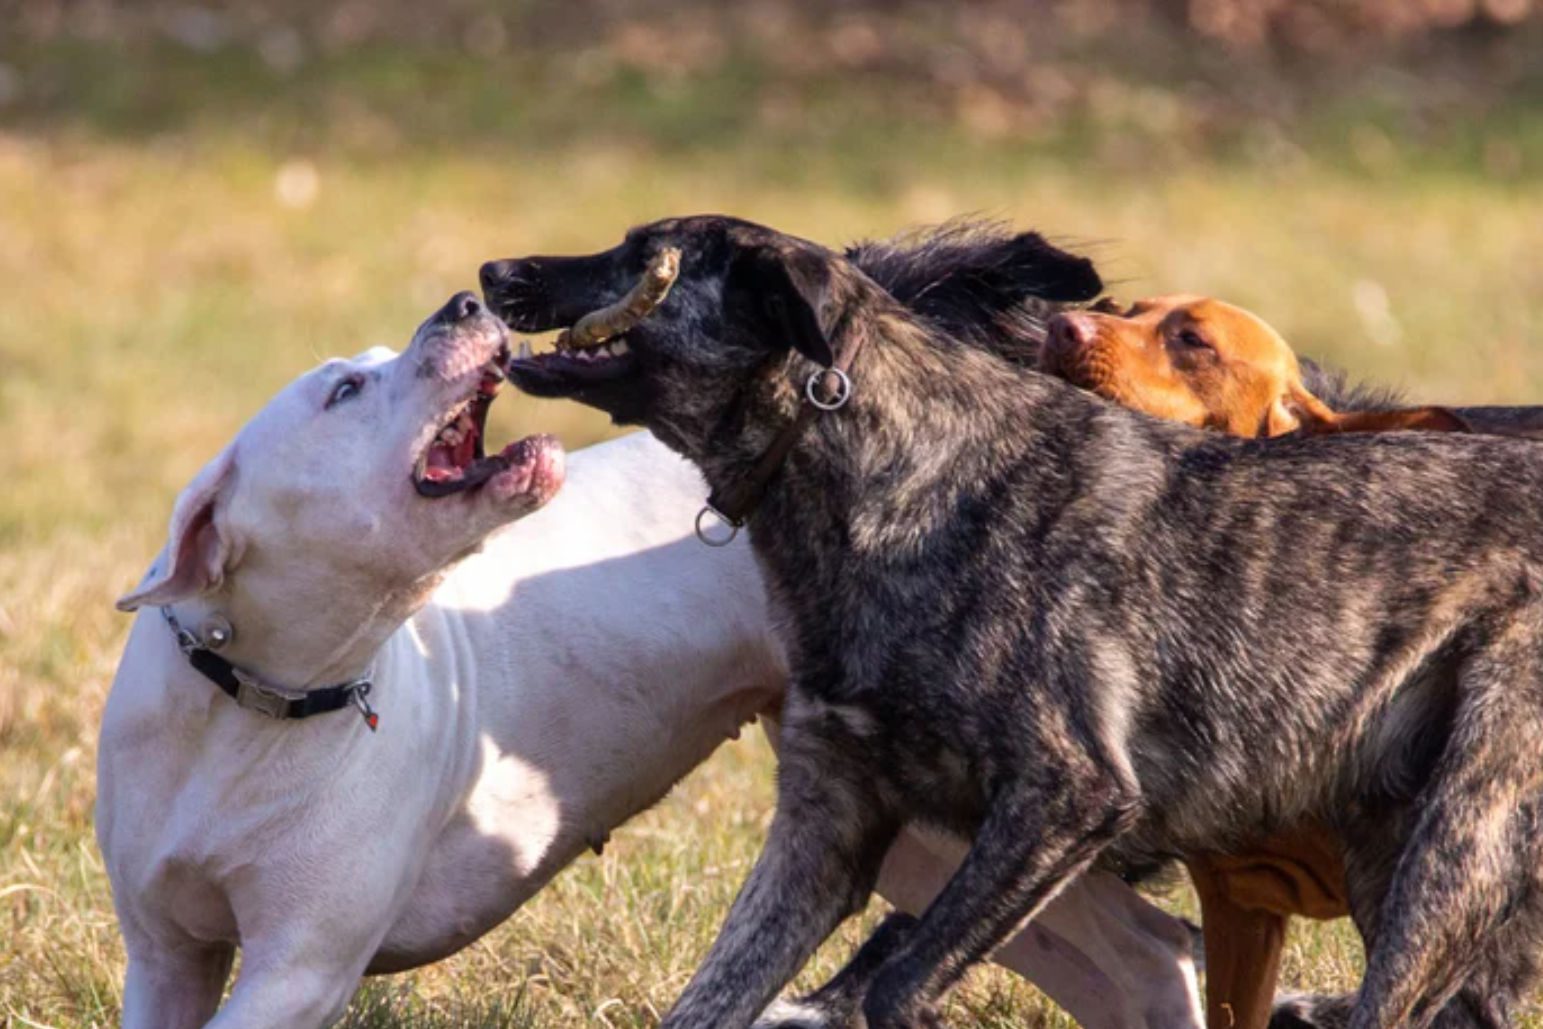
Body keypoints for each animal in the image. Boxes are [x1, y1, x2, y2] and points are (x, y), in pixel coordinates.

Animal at [99, 291, 1203, 1029]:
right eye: (345, 389)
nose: (463, 303)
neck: (254, 700)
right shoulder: (166, 960)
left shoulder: (296, 968)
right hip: (918, 829)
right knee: (1142, 956)